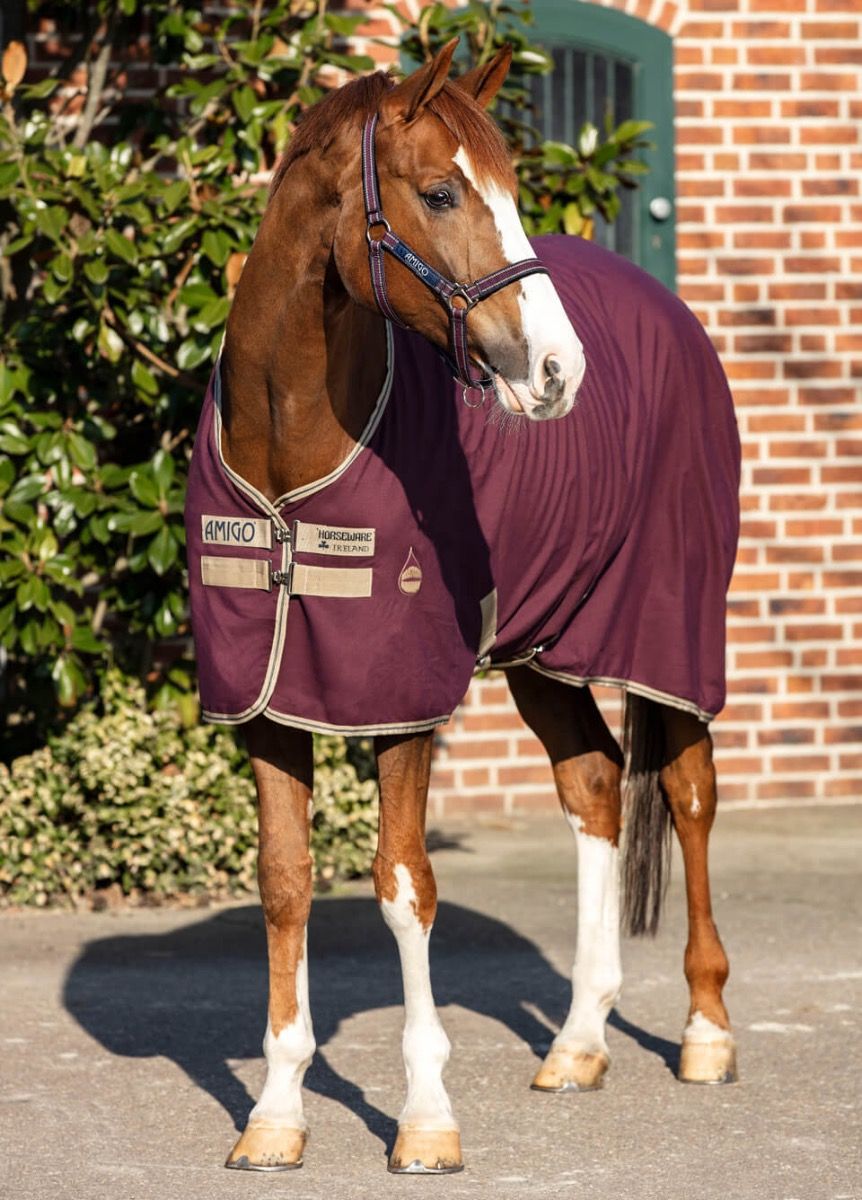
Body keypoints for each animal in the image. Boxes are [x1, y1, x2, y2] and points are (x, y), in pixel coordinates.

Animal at [184, 39, 741, 1175]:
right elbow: (284, 882)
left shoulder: (402, 705)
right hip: (543, 650)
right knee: (595, 788)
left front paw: (426, 1118)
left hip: (672, 630)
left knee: (690, 793)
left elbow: (405, 888)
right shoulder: (265, 704)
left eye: (515, 190)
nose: (558, 371)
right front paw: (275, 1113)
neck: (290, 447)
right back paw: (577, 1044)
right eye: (441, 191)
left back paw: (705, 1033)